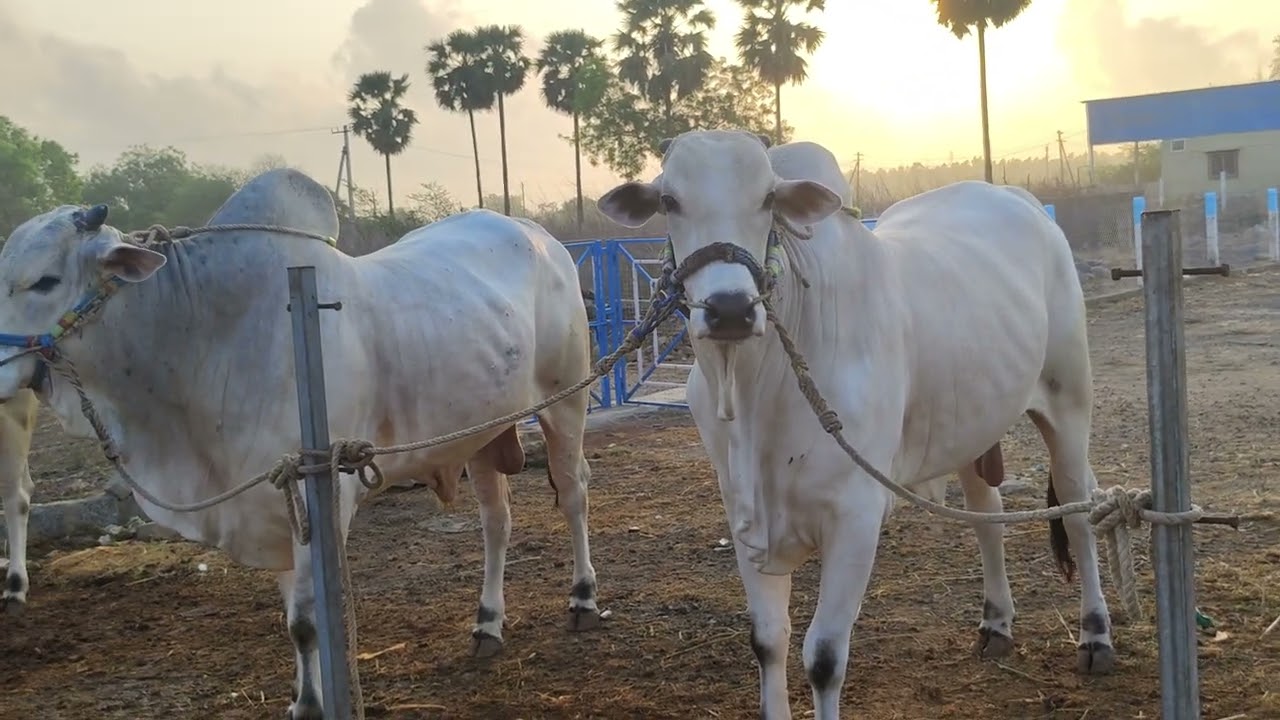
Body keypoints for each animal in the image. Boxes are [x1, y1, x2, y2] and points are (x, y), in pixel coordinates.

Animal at [0, 167, 601, 719]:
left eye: (45, 280)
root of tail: (537, 235)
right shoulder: (273, 495)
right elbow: (292, 619)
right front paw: (301, 697)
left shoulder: (320, 485)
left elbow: (309, 621)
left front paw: (316, 703)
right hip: (480, 435)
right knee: (497, 522)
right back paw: (487, 623)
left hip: (566, 402)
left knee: (573, 495)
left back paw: (583, 597)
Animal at [597, 130, 1113, 719]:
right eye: (669, 201)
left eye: (768, 199)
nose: (730, 309)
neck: (756, 392)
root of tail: (1020, 199)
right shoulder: (742, 514)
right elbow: (767, 641)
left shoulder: (856, 515)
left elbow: (823, 656)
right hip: (972, 423)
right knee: (987, 514)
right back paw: (996, 624)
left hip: (1069, 401)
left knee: (1077, 509)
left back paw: (1096, 637)